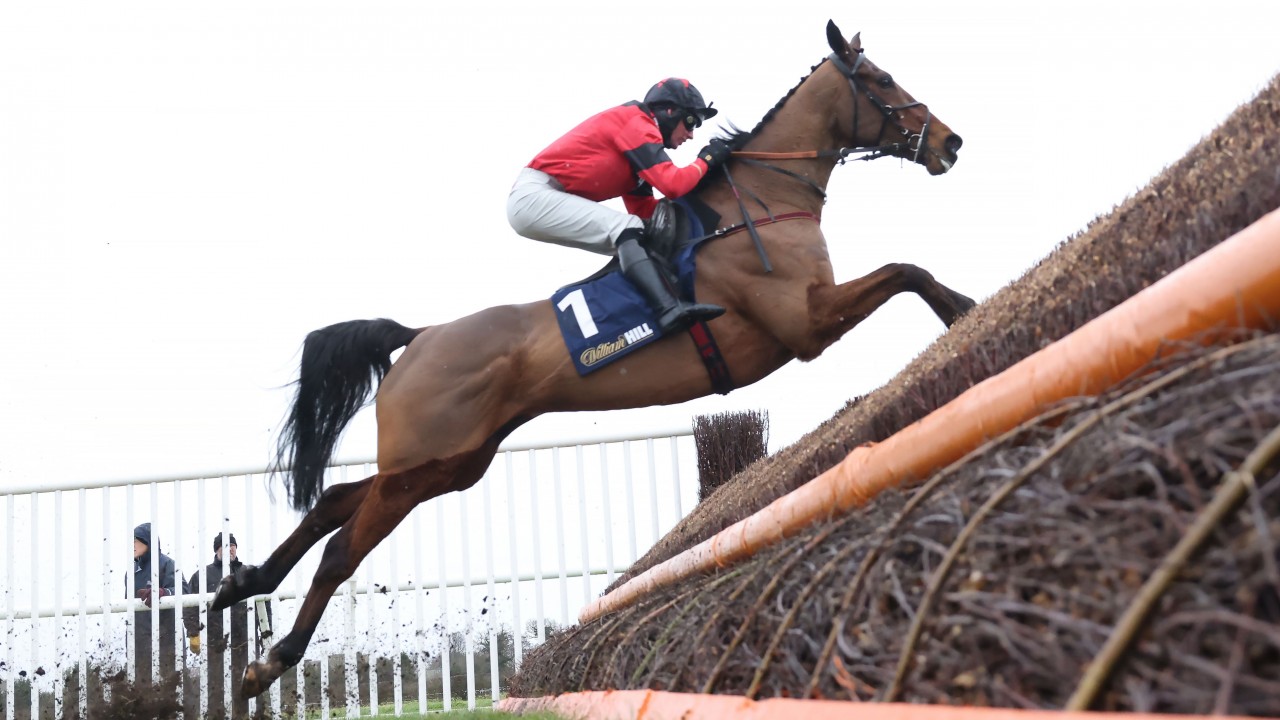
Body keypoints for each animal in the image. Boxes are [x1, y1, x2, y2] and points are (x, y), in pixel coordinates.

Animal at [212, 20, 975, 698]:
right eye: (881, 80)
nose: (950, 140)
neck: (758, 203)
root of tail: (420, 335)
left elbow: (907, 270)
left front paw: (965, 311)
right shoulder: (807, 323)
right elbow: (906, 270)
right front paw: (964, 311)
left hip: (447, 464)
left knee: (335, 499)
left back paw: (243, 582)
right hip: (425, 464)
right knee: (342, 550)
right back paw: (269, 661)